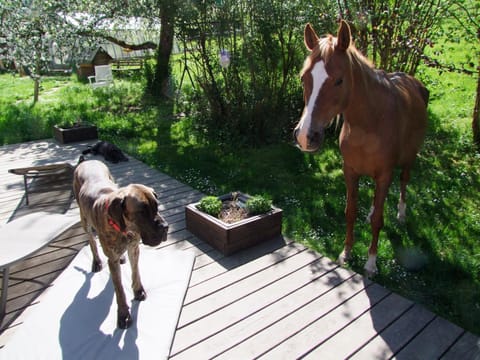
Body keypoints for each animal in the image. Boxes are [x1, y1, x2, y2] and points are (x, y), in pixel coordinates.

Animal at [294, 20, 430, 276]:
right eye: (304, 77)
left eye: (339, 80)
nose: (306, 136)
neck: (369, 123)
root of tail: (415, 84)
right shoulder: (350, 171)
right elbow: (351, 211)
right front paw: (346, 252)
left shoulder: (385, 174)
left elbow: (379, 220)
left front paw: (371, 262)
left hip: (409, 157)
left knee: (404, 181)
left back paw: (401, 213)